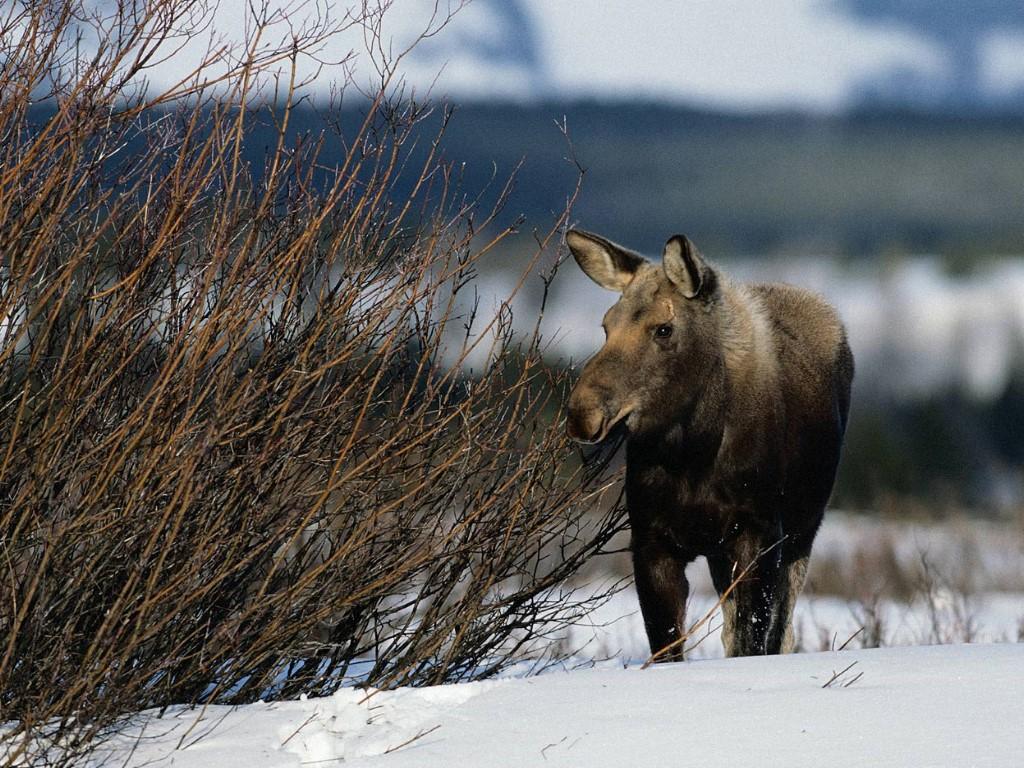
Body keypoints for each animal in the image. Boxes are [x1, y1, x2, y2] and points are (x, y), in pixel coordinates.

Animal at [565, 228, 851, 663]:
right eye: (606, 325)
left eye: (663, 328)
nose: (583, 412)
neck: (693, 455)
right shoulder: (651, 540)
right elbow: (667, 647)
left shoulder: (759, 534)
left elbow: (752, 642)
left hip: (802, 533)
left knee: (781, 633)